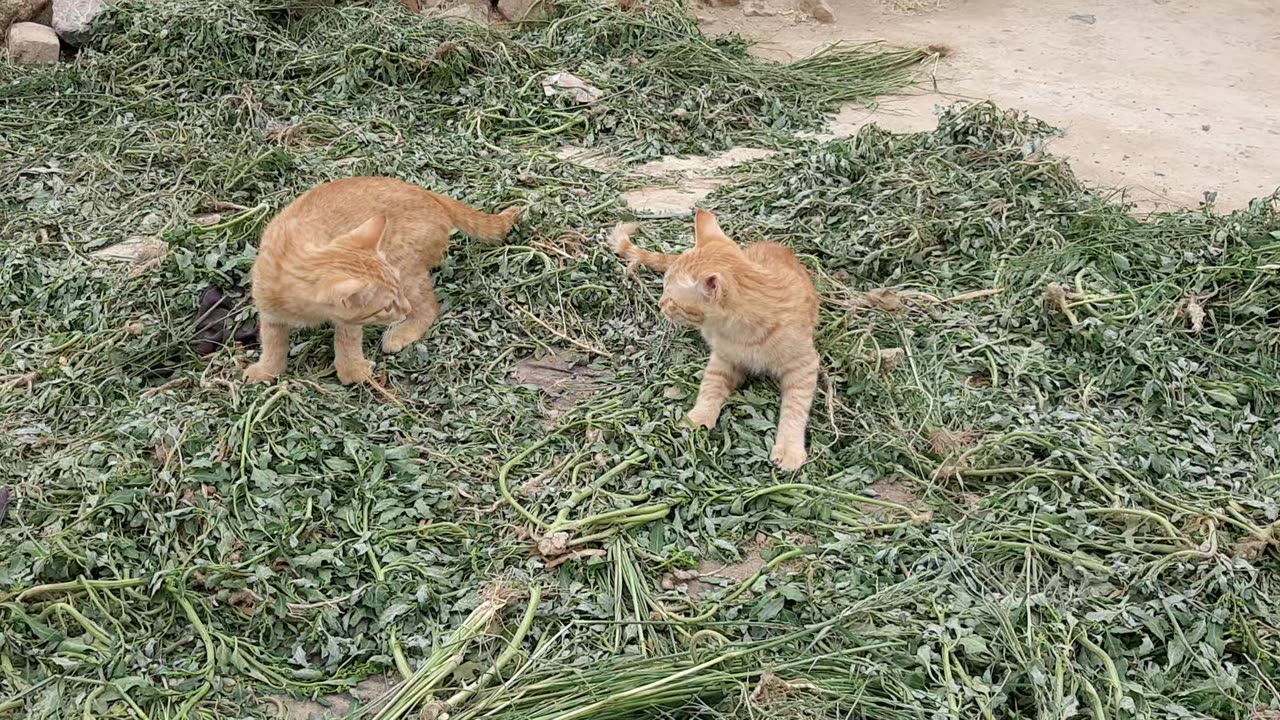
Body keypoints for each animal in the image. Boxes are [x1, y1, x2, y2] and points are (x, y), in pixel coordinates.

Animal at [244, 175, 519, 384]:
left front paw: (352, 371)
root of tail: (428, 194)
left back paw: (402, 332)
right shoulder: (269, 312)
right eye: (386, 306)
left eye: (394, 299)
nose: (404, 309)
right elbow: (272, 342)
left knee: (430, 306)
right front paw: (267, 370)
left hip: (406, 266)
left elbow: (347, 341)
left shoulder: (350, 320)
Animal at [609, 208, 819, 466]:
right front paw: (698, 417)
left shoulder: (805, 365)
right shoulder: (722, 359)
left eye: (671, 298)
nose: (660, 305)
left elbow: (795, 408)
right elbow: (710, 386)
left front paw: (789, 448)